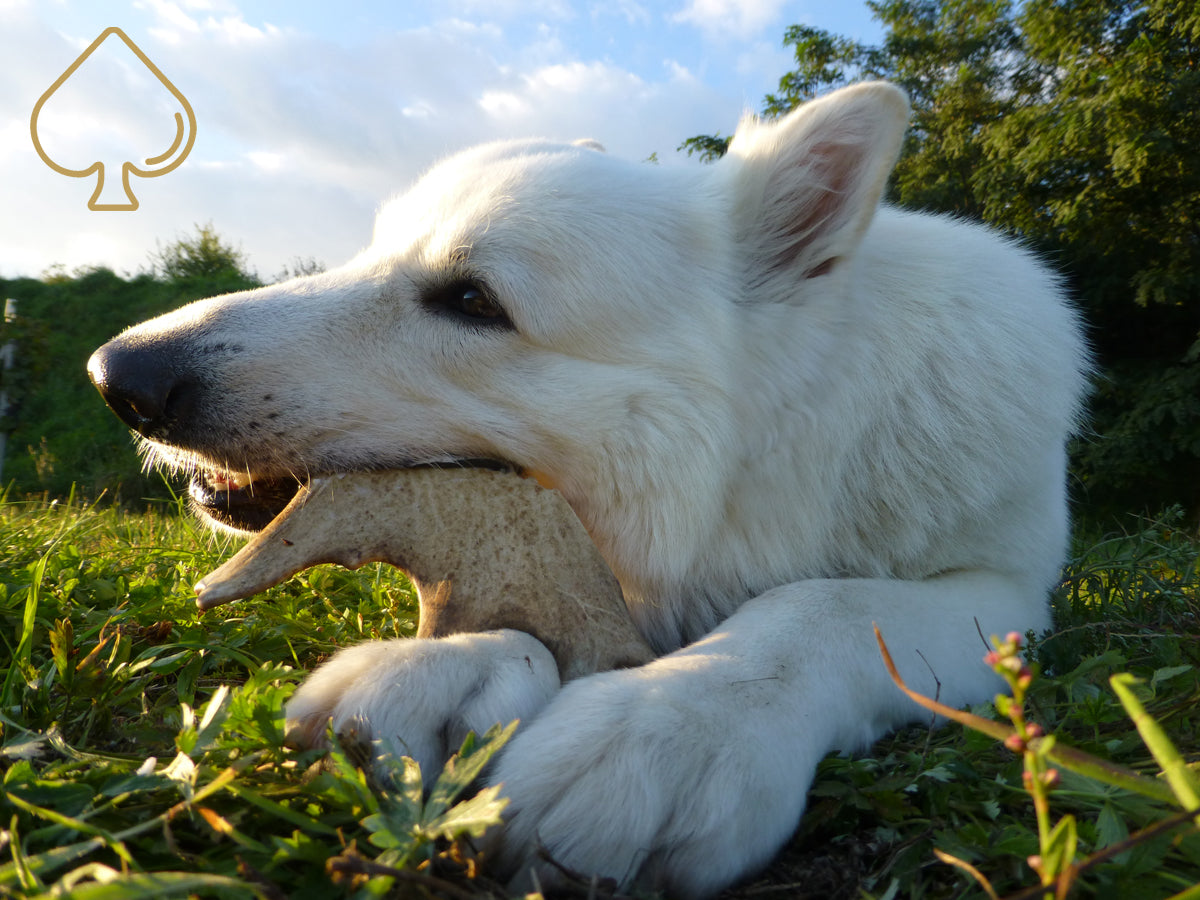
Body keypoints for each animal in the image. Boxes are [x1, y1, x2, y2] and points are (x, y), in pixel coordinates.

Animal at [88, 82, 1094, 897]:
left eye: (473, 301)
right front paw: (447, 668)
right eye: (365, 255)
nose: (117, 375)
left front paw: (669, 724)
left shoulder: (1007, 593)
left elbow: (828, 605)